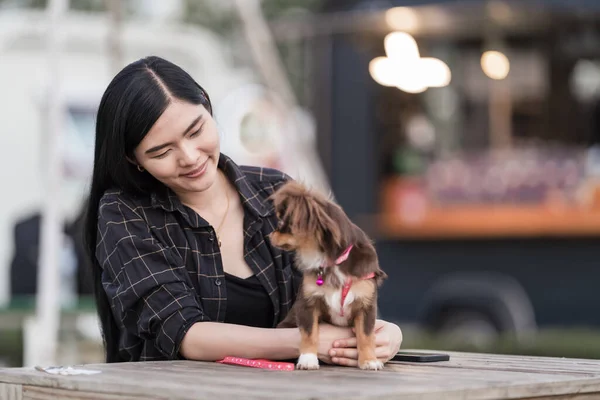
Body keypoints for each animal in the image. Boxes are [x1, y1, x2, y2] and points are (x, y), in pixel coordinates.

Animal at [270, 181, 386, 372]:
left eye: (280, 222)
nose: (270, 235)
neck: (332, 263)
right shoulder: (308, 304)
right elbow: (309, 333)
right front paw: (308, 359)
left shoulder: (366, 306)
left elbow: (366, 336)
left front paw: (369, 360)